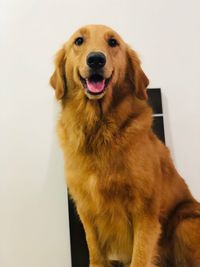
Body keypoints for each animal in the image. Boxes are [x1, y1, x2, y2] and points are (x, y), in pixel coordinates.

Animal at [49, 24, 200, 266]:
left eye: (113, 42)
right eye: (79, 41)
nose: (96, 59)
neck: (99, 130)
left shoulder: (145, 212)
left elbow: (139, 257)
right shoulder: (86, 211)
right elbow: (96, 255)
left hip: (185, 223)